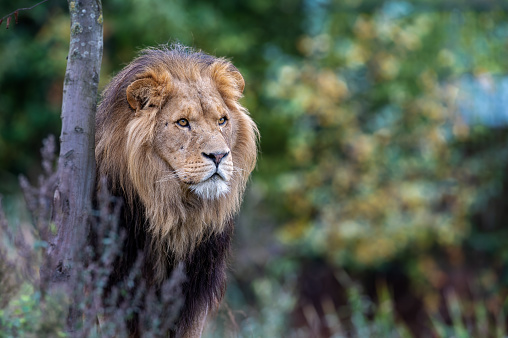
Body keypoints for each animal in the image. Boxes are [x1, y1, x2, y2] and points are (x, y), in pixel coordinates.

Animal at [94, 44, 258, 336]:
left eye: (222, 120)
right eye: (182, 123)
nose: (219, 155)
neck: (174, 215)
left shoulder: (193, 297)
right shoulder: (114, 286)